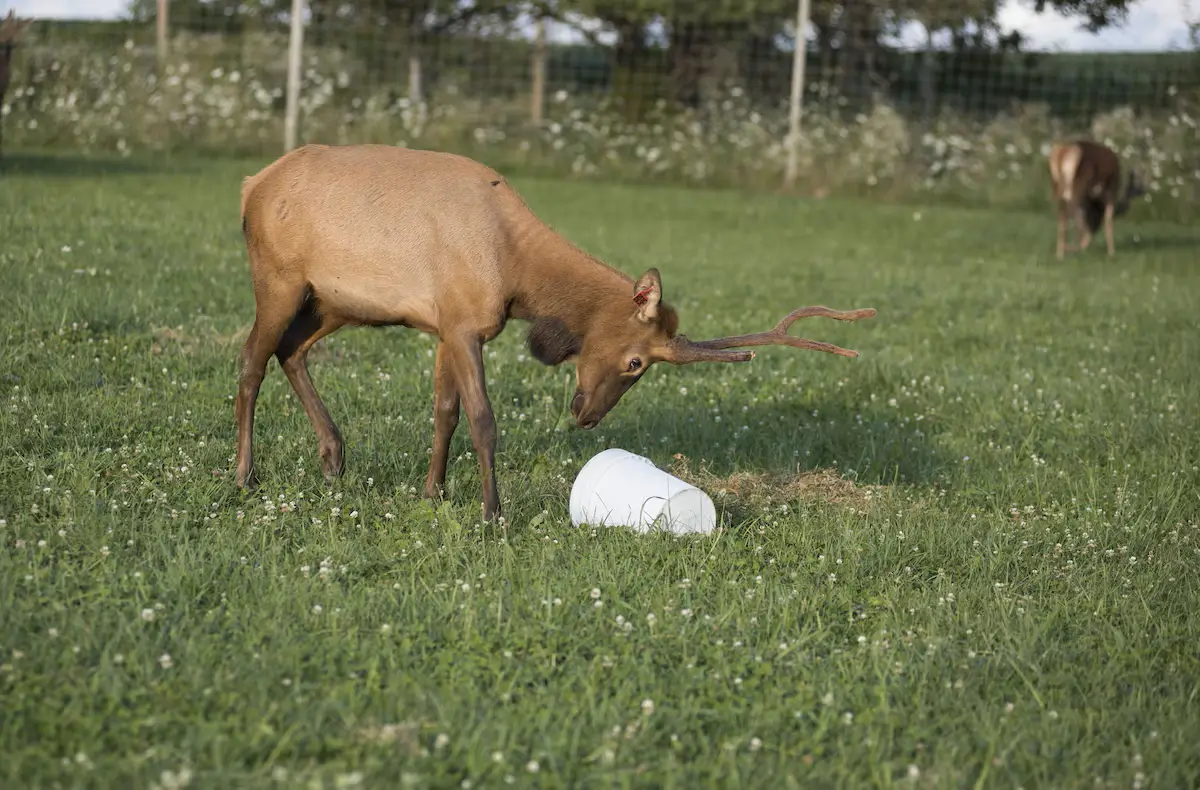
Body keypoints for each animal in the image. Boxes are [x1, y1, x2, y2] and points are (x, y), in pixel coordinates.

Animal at [235, 143, 877, 523]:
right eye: (637, 362)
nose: (587, 416)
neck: (518, 275)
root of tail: (250, 185)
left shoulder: (445, 325)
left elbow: (444, 411)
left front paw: (432, 493)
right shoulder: (465, 324)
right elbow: (483, 419)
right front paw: (493, 514)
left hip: (333, 301)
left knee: (290, 351)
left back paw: (333, 456)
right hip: (279, 279)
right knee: (250, 360)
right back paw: (244, 475)